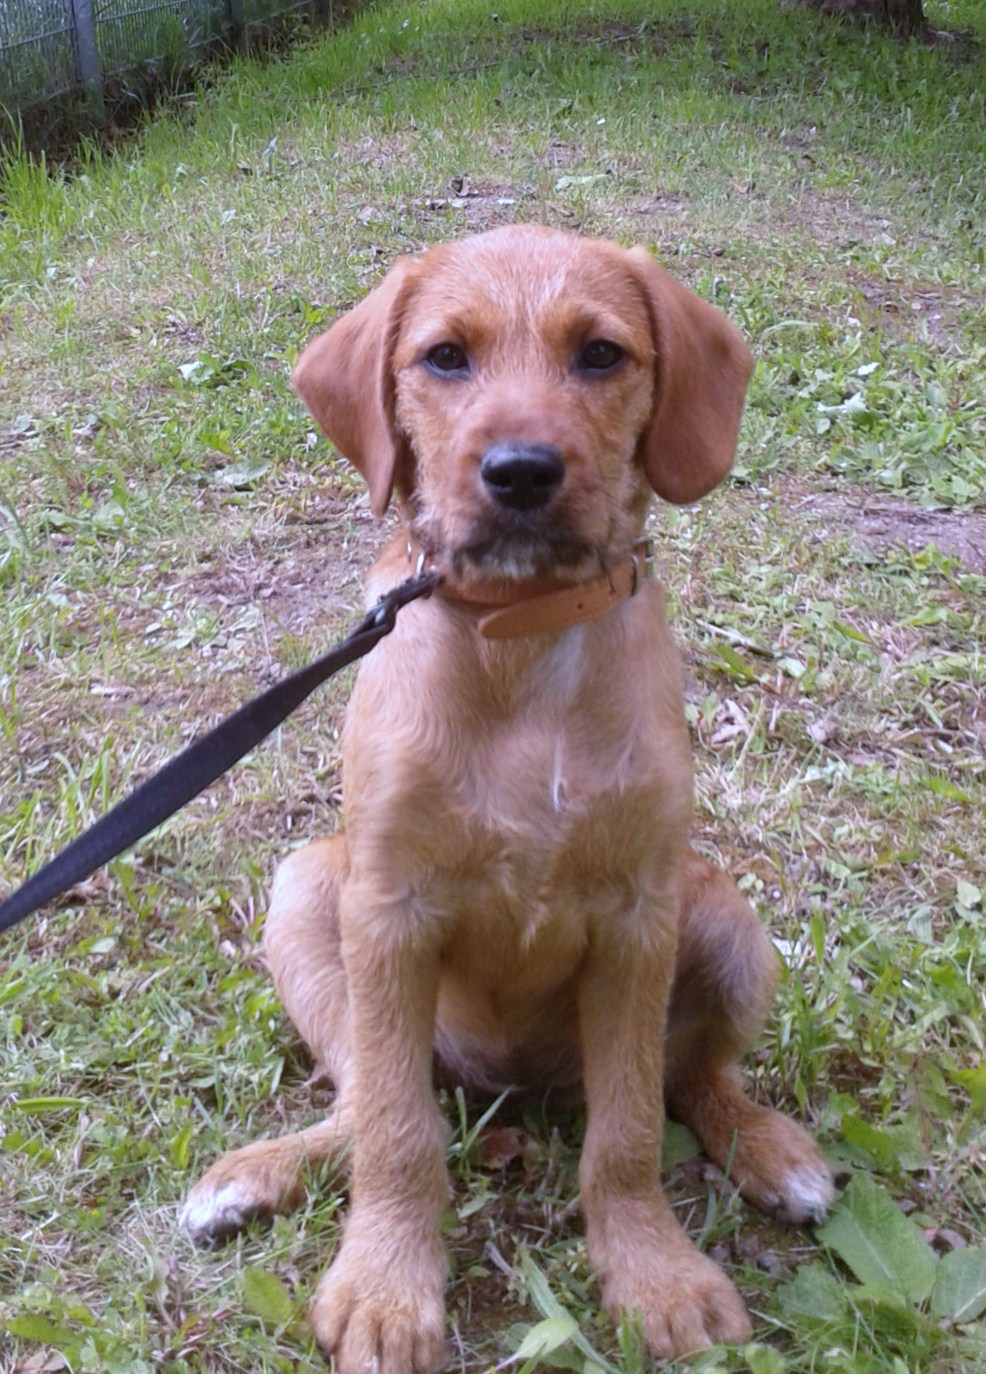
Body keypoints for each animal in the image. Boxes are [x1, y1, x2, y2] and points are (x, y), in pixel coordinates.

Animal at [179, 219, 834, 1368]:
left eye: (601, 355)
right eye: (444, 358)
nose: (521, 472)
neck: (520, 639)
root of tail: (515, 1088)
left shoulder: (636, 919)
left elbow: (627, 1132)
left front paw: (652, 1273)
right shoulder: (388, 910)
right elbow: (398, 1135)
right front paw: (386, 1289)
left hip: (722, 918)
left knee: (693, 1079)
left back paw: (768, 1147)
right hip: (309, 894)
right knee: (368, 1100)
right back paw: (258, 1175)